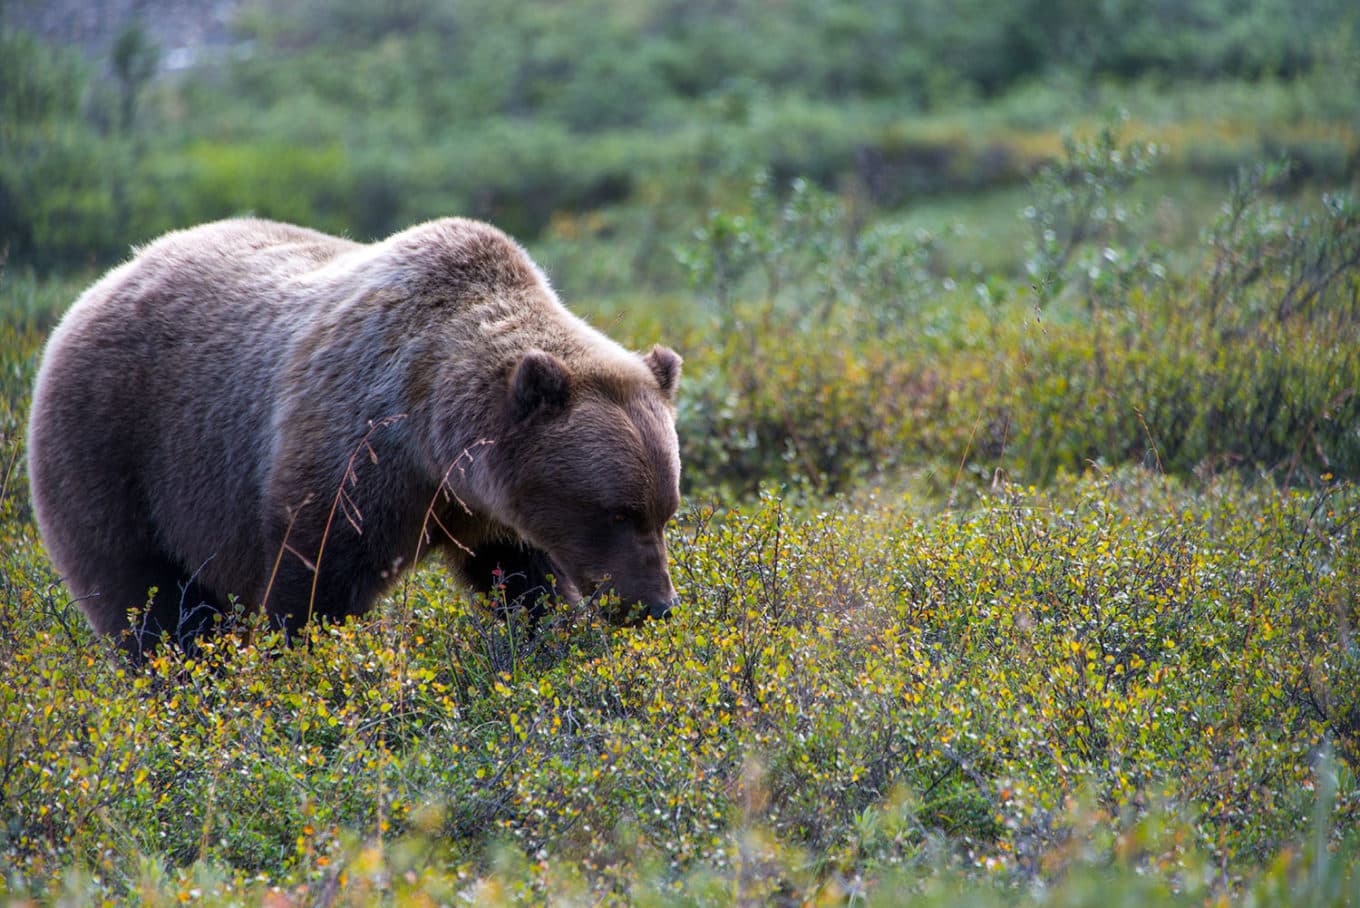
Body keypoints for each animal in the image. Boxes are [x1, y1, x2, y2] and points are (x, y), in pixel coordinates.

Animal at [26, 216, 683, 658]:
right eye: (614, 512)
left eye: (665, 510)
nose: (654, 606)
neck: (433, 446)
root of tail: (97, 287)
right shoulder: (356, 453)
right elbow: (314, 581)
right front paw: (299, 667)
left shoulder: (487, 508)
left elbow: (524, 581)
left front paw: (552, 636)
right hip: (116, 452)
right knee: (149, 600)